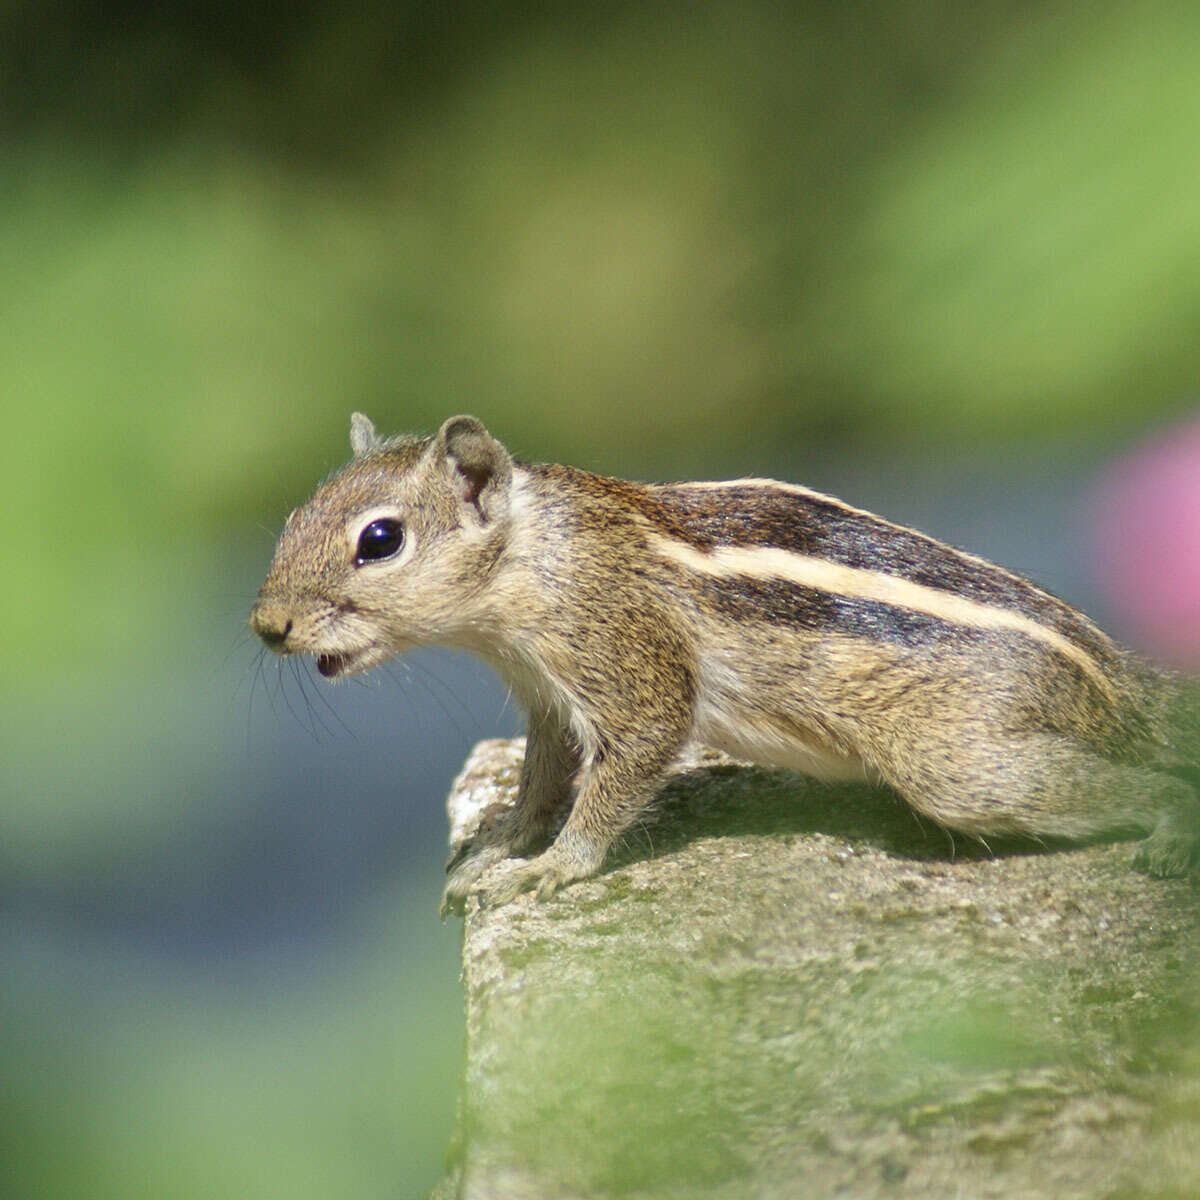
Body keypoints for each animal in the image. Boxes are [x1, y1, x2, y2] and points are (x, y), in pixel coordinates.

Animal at [248, 412, 1195, 907]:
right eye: (293, 516)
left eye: (379, 540)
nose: (265, 624)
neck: (532, 553)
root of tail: (1119, 683)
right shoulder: (547, 700)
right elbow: (542, 779)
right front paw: (500, 849)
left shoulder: (626, 662)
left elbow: (625, 768)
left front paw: (554, 866)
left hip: (962, 768)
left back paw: (1170, 832)